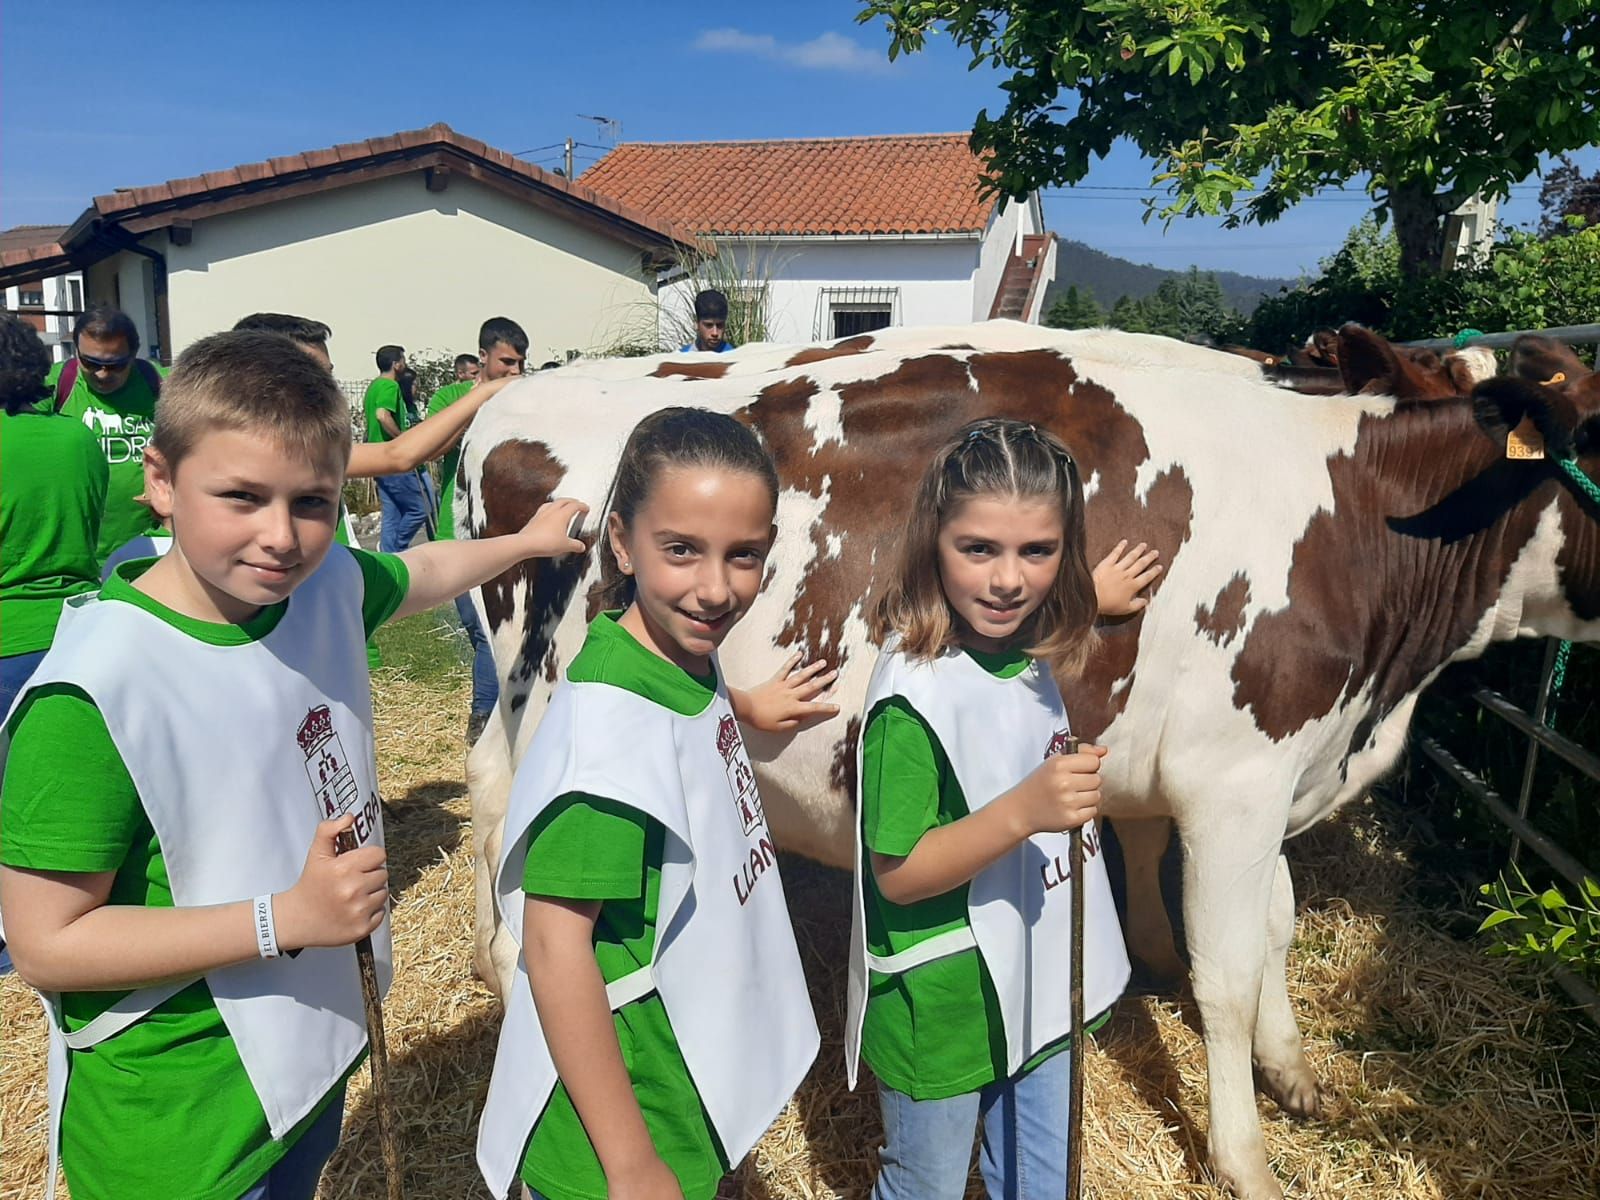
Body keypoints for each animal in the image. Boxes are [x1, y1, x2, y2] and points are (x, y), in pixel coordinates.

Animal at [451, 321, 1600, 1200]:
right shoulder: (1233, 777)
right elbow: (1228, 971)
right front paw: (1245, 1158)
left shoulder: (1279, 761)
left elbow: (1273, 926)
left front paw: (1294, 1073)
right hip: (552, 719)